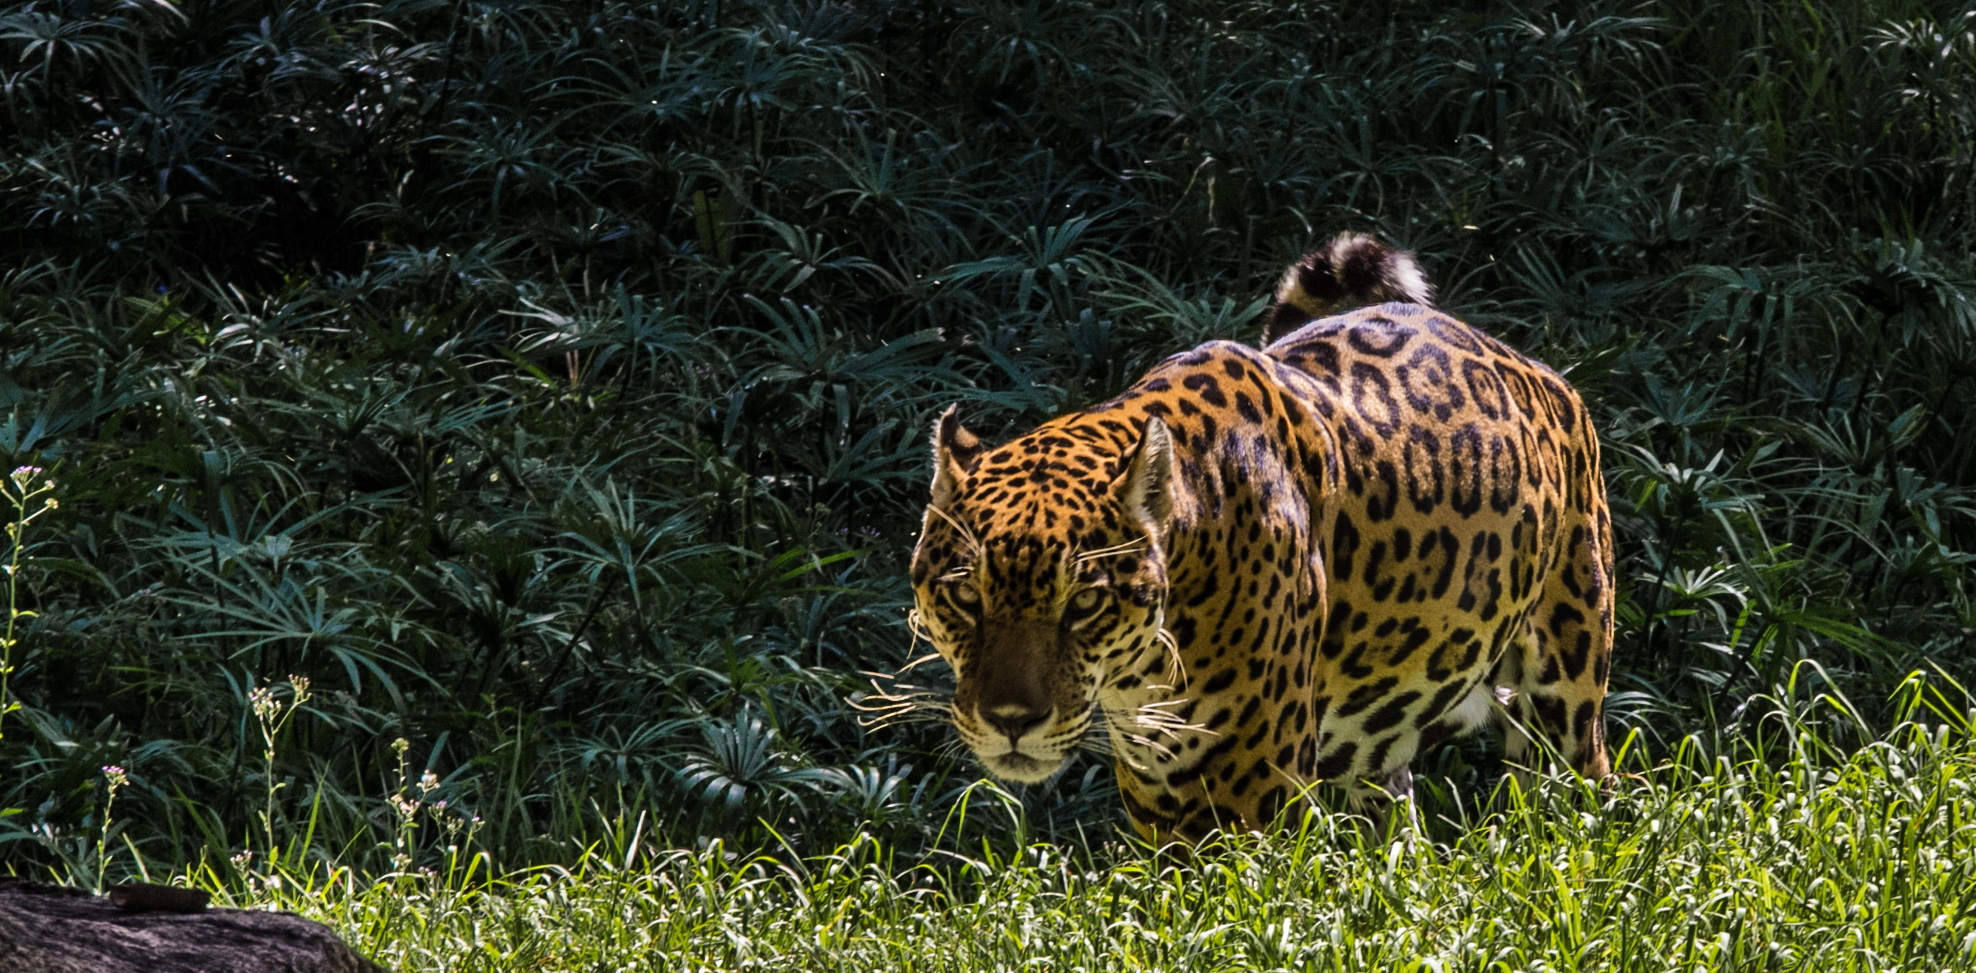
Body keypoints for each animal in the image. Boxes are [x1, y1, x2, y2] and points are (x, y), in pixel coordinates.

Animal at [908, 234, 1613, 844]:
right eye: (965, 598)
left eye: (1084, 603)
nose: (1011, 722)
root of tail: (1544, 373)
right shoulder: (1155, 783)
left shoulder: (1252, 788)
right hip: (1379, 744)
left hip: (1569, 679)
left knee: (1578, 789)